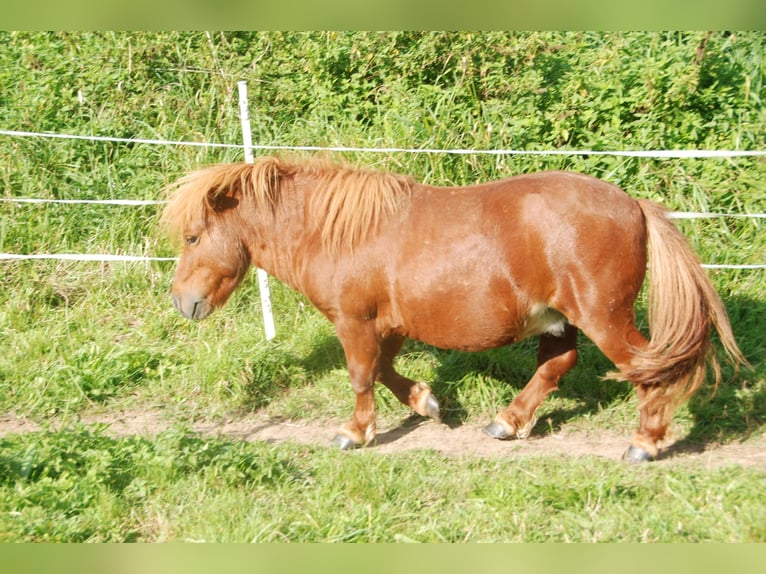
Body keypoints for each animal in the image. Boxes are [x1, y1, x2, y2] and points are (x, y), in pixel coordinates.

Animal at [161, 156, 746, 462]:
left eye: (192, 237)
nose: (182, 302)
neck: (337, 232)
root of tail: (636, 207)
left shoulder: (355, 321)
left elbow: (361, 375)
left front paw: (356, 432)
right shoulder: (391, 322)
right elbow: (386, 369)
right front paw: (427, 403)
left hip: (605, 318)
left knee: (649, 371)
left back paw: (645, 443)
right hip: (560, 321)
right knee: (557, 365)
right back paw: (507, 422)